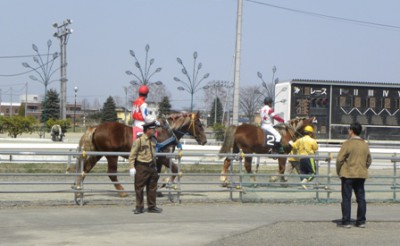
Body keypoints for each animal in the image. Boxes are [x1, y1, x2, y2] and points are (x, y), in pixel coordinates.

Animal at [72, 112, 208, 197]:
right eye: (199, 124)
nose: (205, 140)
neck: (167, 131)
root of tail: (96, 127)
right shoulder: (163, 157)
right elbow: (174, 169)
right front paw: (166, 183)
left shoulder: (157, 159)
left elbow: (157, 173)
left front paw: (157, 188)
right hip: (112, 155)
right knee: (111, 173)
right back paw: (122, 191)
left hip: (98, 153)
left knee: (86, 168)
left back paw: (78, 188)